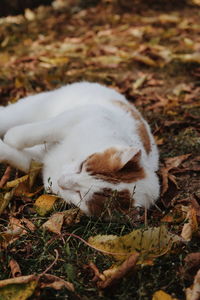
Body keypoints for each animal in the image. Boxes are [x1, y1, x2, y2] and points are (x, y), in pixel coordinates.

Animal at [0, 82, 159, 216]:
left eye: (80, 194)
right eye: (82, 166)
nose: (61, 181)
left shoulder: (35, 162)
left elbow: (14, 155)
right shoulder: (89, 115)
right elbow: (43, 130)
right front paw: (11, 137)